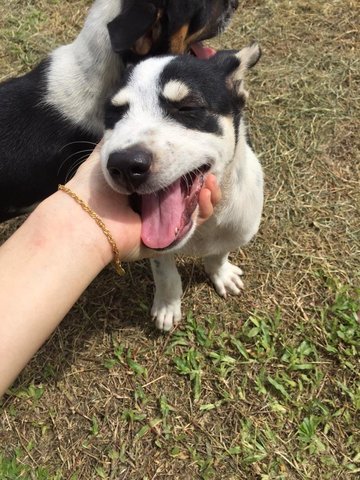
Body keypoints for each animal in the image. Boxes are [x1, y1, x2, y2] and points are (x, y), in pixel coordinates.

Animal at [100, 44, 262, 330]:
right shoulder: (156, 250)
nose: (125, 165)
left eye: (187, 107)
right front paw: (168, 306)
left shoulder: (235, 230)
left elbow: (218, 254)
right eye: (114, 113)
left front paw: (221, 273)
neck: (202, 227)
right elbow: (165, 273)